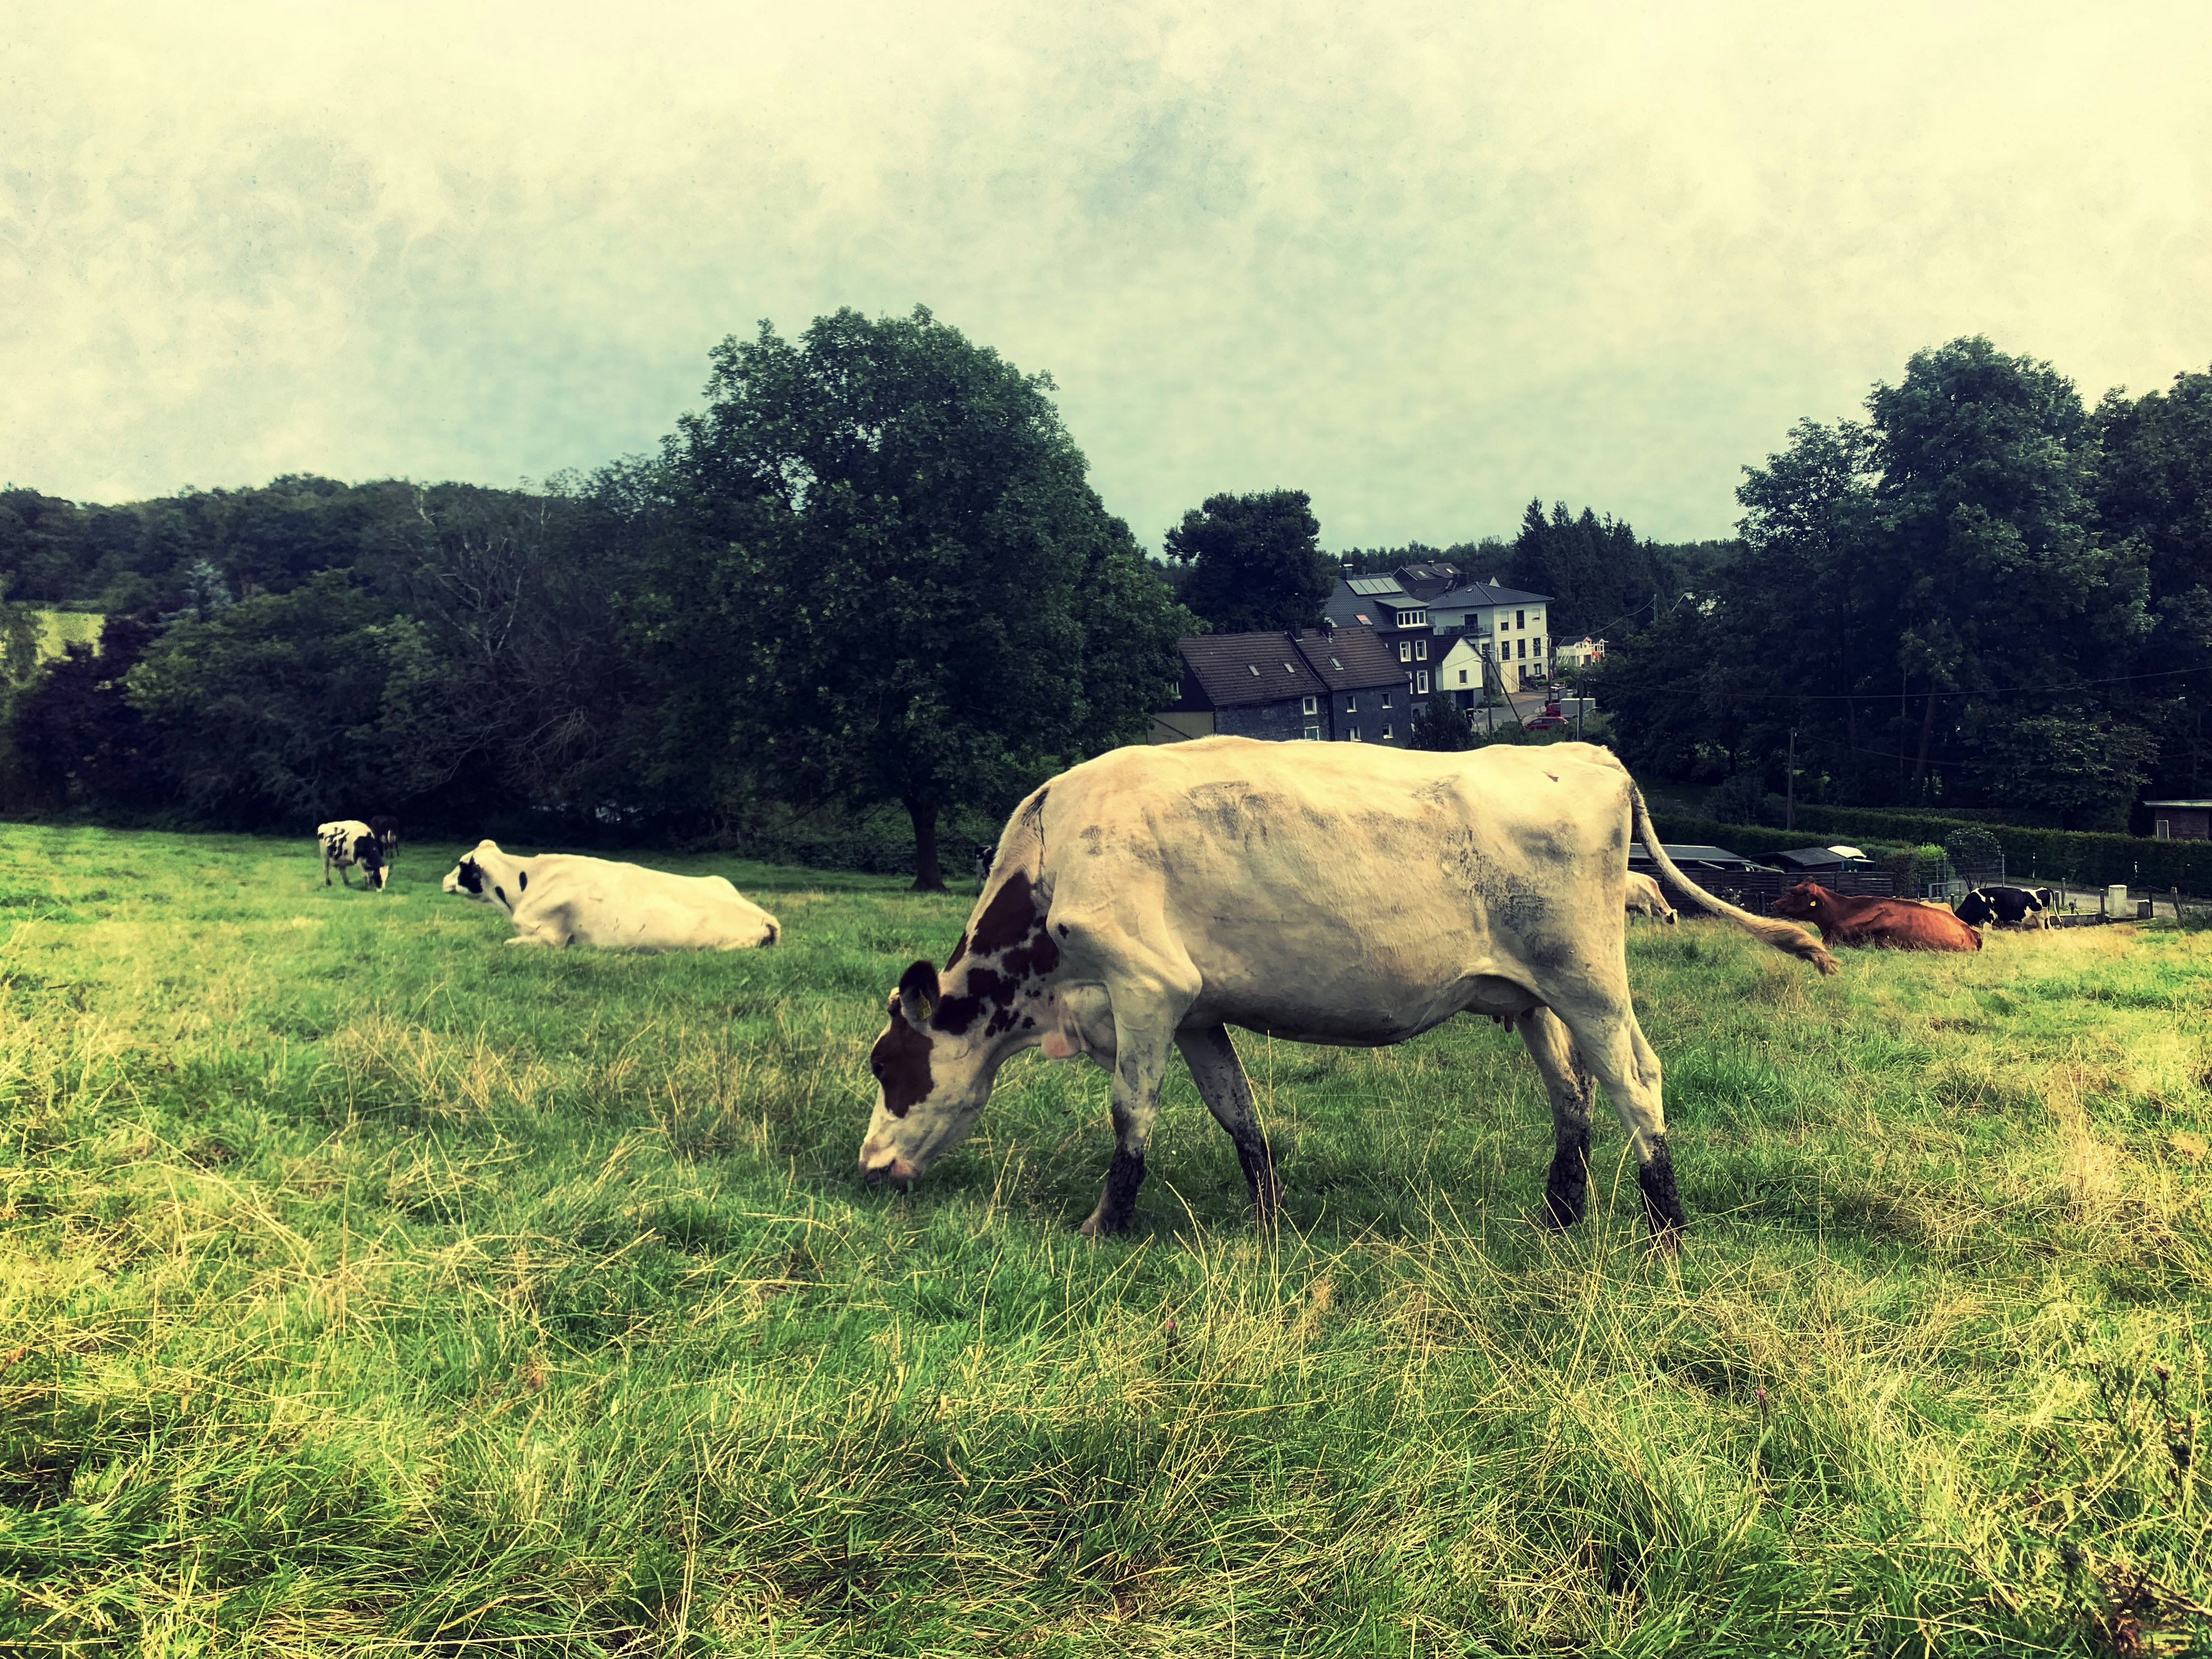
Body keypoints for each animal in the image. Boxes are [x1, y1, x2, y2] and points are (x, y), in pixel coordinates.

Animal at [317, 819, 388, 890]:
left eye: (386, 878)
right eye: (378, 876)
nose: (382, 889)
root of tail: (324, 825)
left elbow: (369, 874)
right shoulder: (359, 861)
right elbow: (365, 875)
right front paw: (367, 886)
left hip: (341, 859)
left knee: (342, 870)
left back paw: (347, 883)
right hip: (325, 856)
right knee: (326, 869)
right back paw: (329, 883)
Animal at [858, 738, 1835, 1247]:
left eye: (886, 1064)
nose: (868, 1167)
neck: (1055, 854)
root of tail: (1578, 752)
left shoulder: (1144, 985)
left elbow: (1131, 1118)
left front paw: (1107, 1222)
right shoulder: (1198, 1010)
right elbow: (1238, 1116)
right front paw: (1268, 1220)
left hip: (1588, 981)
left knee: (1636, 1082)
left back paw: (1666, 1228)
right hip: (1534, 1001)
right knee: (1573, 1095)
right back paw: (1559, 1217)